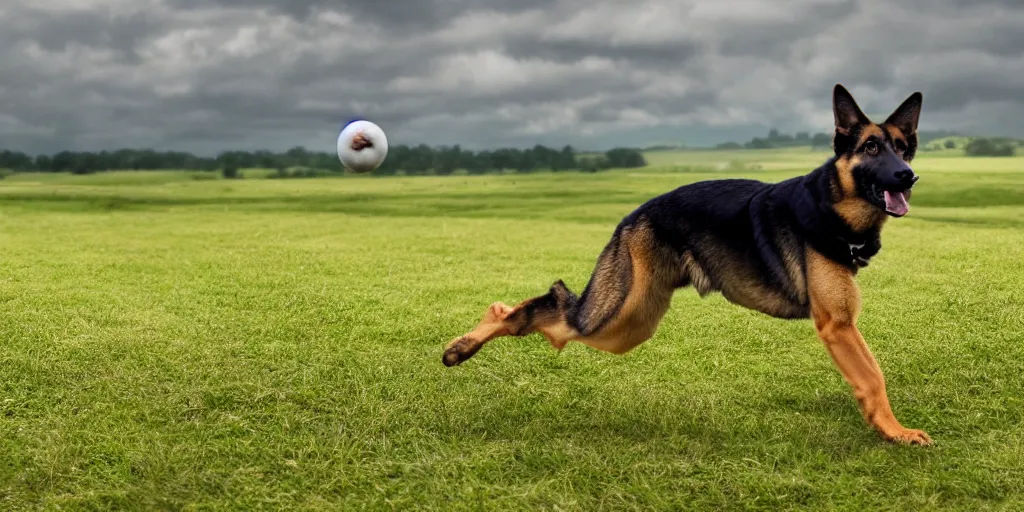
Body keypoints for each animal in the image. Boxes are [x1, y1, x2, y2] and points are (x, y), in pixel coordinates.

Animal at [444, 86, 933, 446]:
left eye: (903, 149)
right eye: (871, 147)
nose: (908, 176)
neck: (833, 203)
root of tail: (633, 215)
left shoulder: (844, 324)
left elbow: (871, 374)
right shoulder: (838, 324)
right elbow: (873, 376)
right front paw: (896, 432)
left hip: (632, 322)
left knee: (542, 311)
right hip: (616, 316)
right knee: (546, 310)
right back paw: (463, 345)